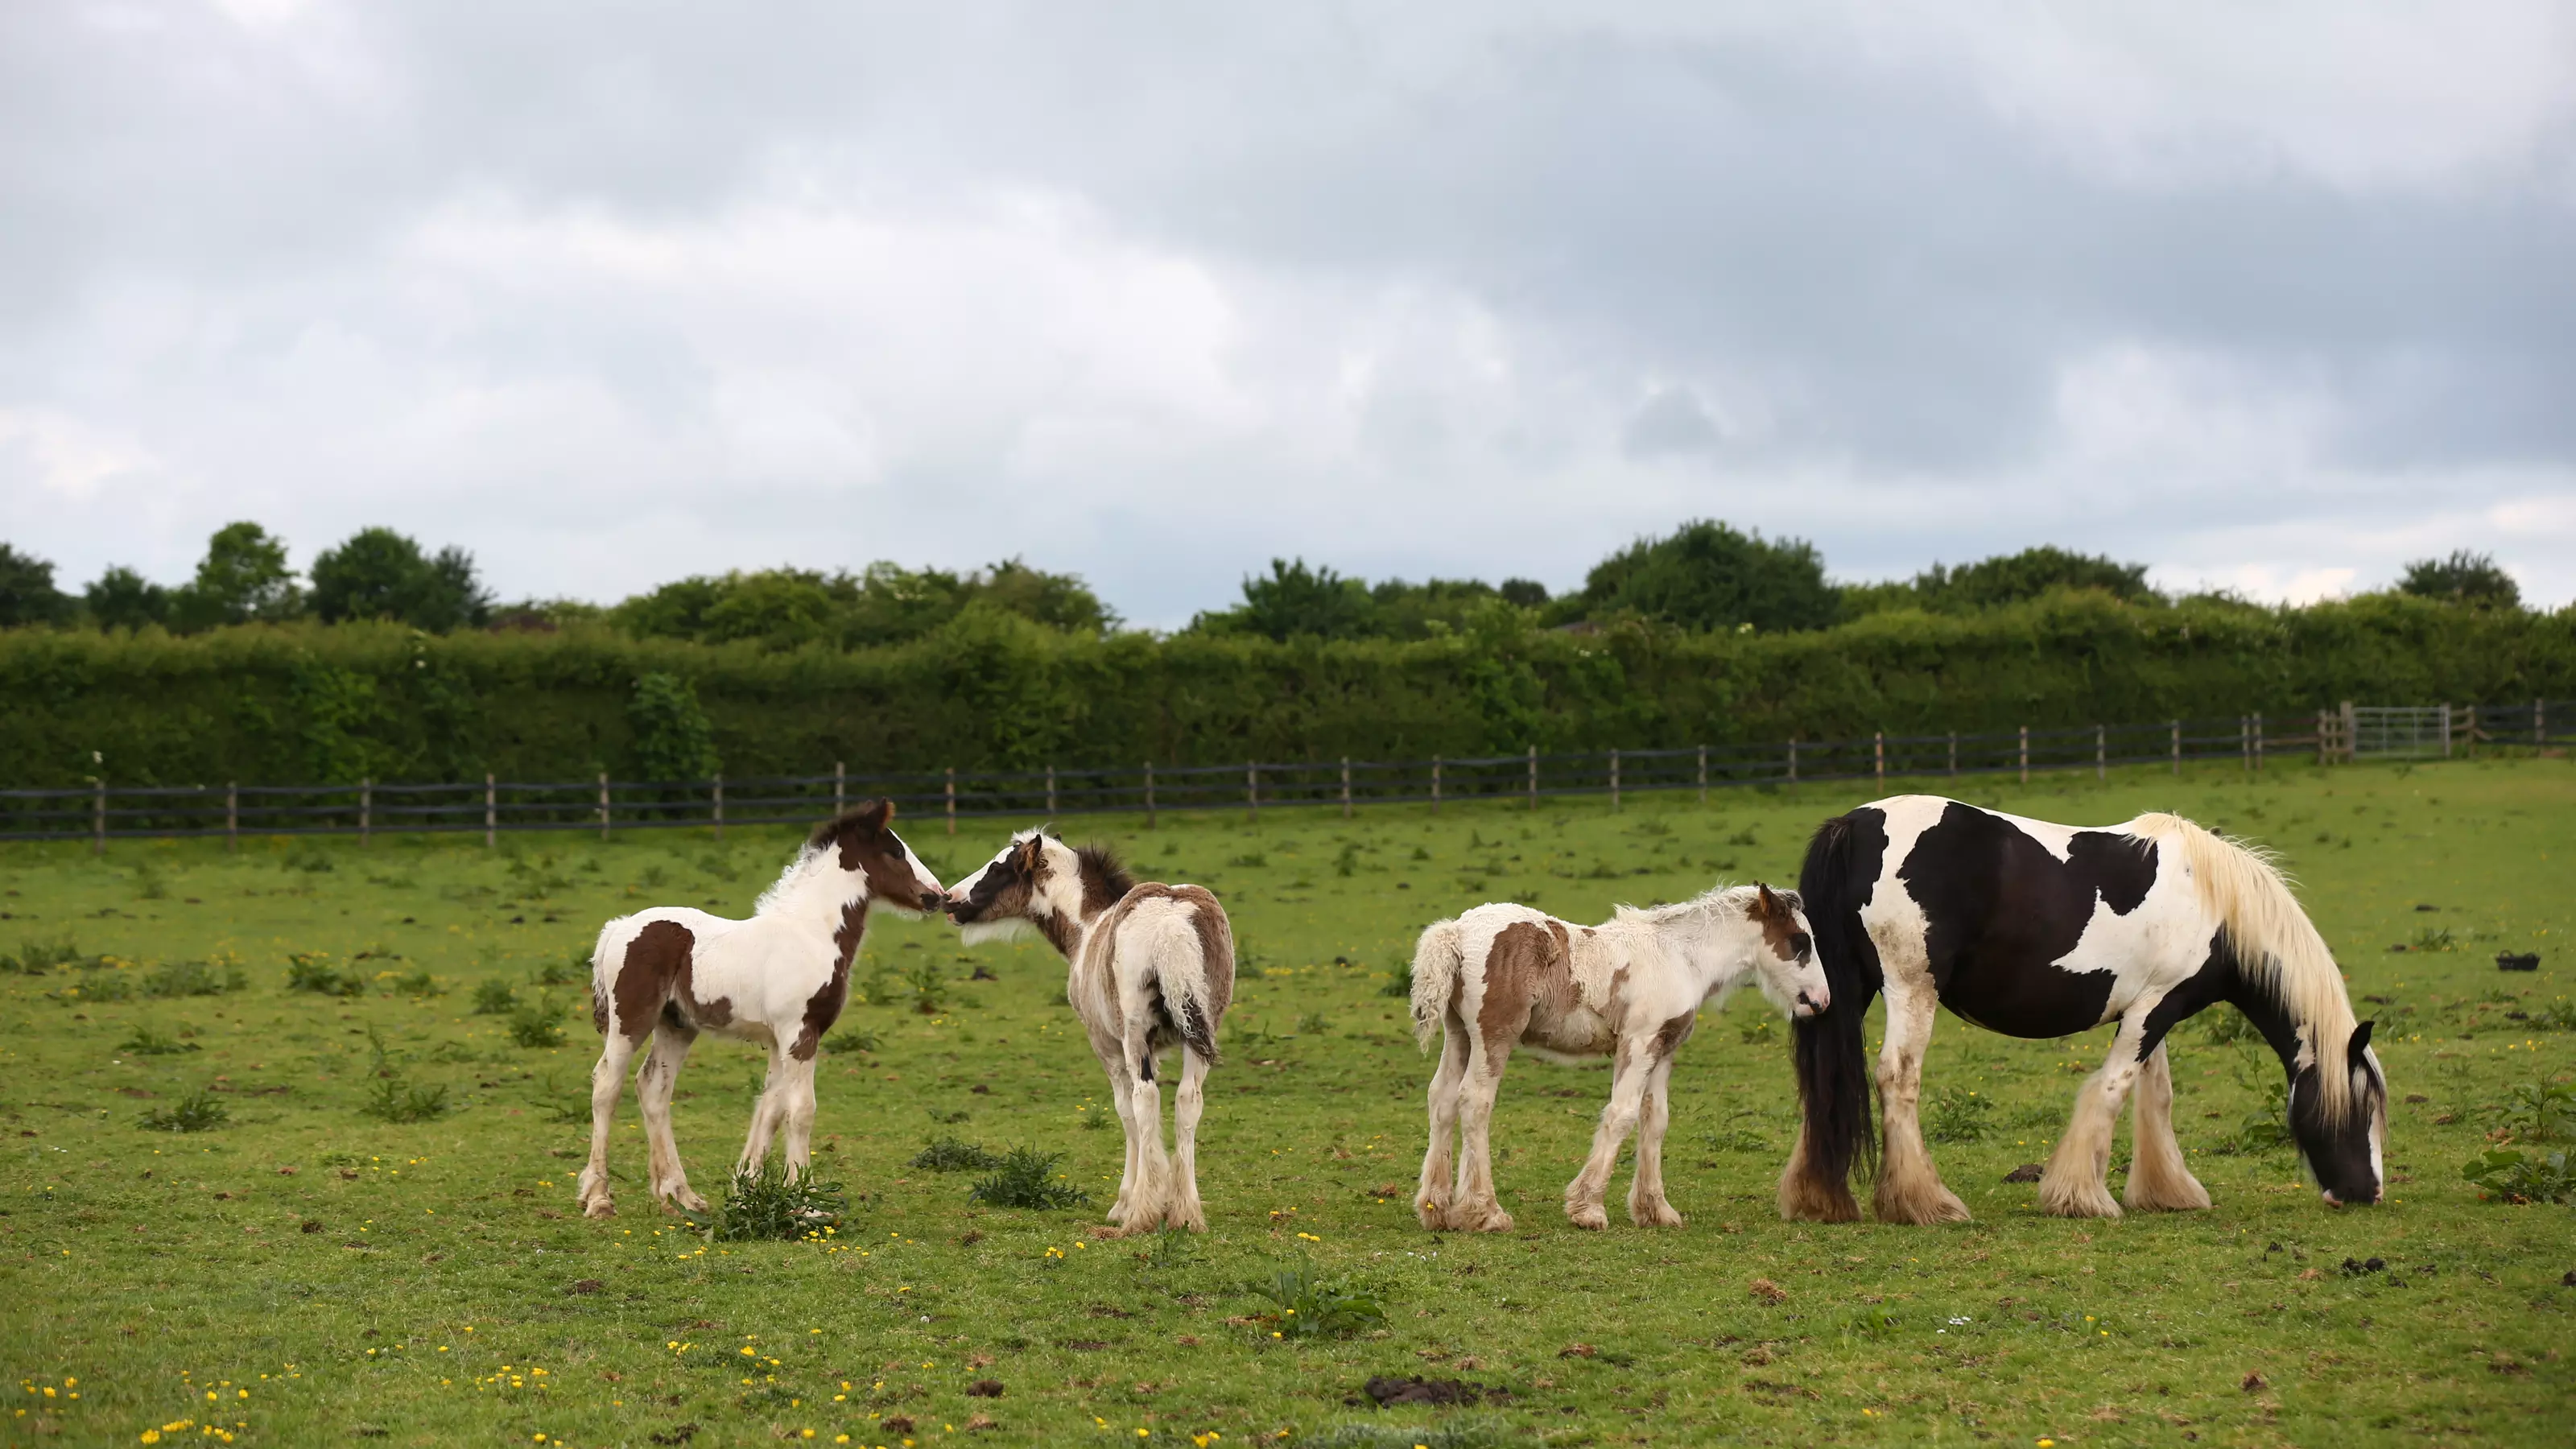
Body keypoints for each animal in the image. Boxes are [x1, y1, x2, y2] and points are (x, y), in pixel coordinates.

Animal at [574, 794, 947, 1212]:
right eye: (896, 851)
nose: (938, 896)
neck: (811, 933)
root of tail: (618, 927)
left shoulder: (781, 1040)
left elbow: (770, 1108)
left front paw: (748, 1190)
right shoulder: (800, 1033)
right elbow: (801, 1112)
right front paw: (806, 1201)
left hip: (676, 1025)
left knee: (654, 1088)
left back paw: (681, 1195)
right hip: (630, 1020)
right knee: (607, 1085)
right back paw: (599, 1199)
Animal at [947, 830, 1236, 1222]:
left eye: (998, 869)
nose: (950, 899)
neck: (1086, 929)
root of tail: (1172, 925)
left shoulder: (1107, 1046)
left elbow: (1126, 1112)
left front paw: (1126, 1203)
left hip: (1134, 1036)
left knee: (1146, 1098)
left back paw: (1140, 1214)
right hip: (1201, 1033)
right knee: (1188, 1098)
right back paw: (1187, 1213)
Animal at [1411, 881, 1834, 1227]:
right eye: (1801, 941)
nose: (1821, 1001)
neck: (1682, 958)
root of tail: (1455, 931)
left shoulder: (1663, 1049)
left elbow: (1655, 1119)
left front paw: (1655, 1210)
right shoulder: (1639, 1041)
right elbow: (1622, 1114)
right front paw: (1588, 1209)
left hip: (1460, 1035)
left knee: (1441, 1098)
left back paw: (1438, 1210)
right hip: (1493, 1035)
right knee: (1475, 1101)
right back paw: (1487, 1212)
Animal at [1782, 794, 2380, 1222]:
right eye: (2365, 1108)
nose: (2367, 1192)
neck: (2214, 904)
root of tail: (1853, 826)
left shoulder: (2152, 1008)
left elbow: (2156, 1095)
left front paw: (2168, 1191)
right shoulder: (2154, 1009)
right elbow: (2113, 1089)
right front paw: (2082, 1197)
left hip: (1842, 992)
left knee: (1825, 1083)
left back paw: (1820, 1199)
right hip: (1911, 990)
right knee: (1897, 1078)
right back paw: (1924, 1203)